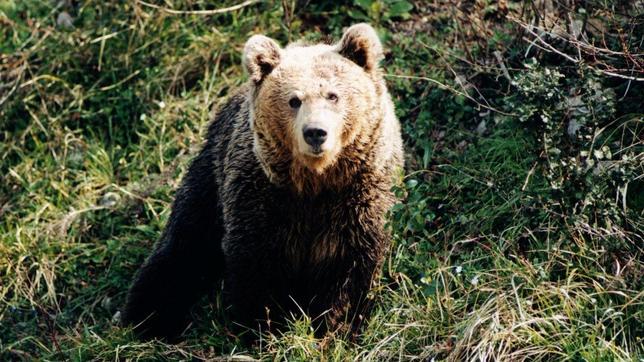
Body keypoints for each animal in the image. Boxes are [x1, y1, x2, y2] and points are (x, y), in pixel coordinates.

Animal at [121, 24, 402, 340]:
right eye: (294, 100)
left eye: (333, 95)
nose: (315, 132)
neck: (314, 181)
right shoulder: (261, 194)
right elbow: (255, 261)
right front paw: (267, 326)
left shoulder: (358, 195)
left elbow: (349, 264)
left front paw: (333, 326)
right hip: (212, 173)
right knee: (185, 241)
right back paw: (147, 318)